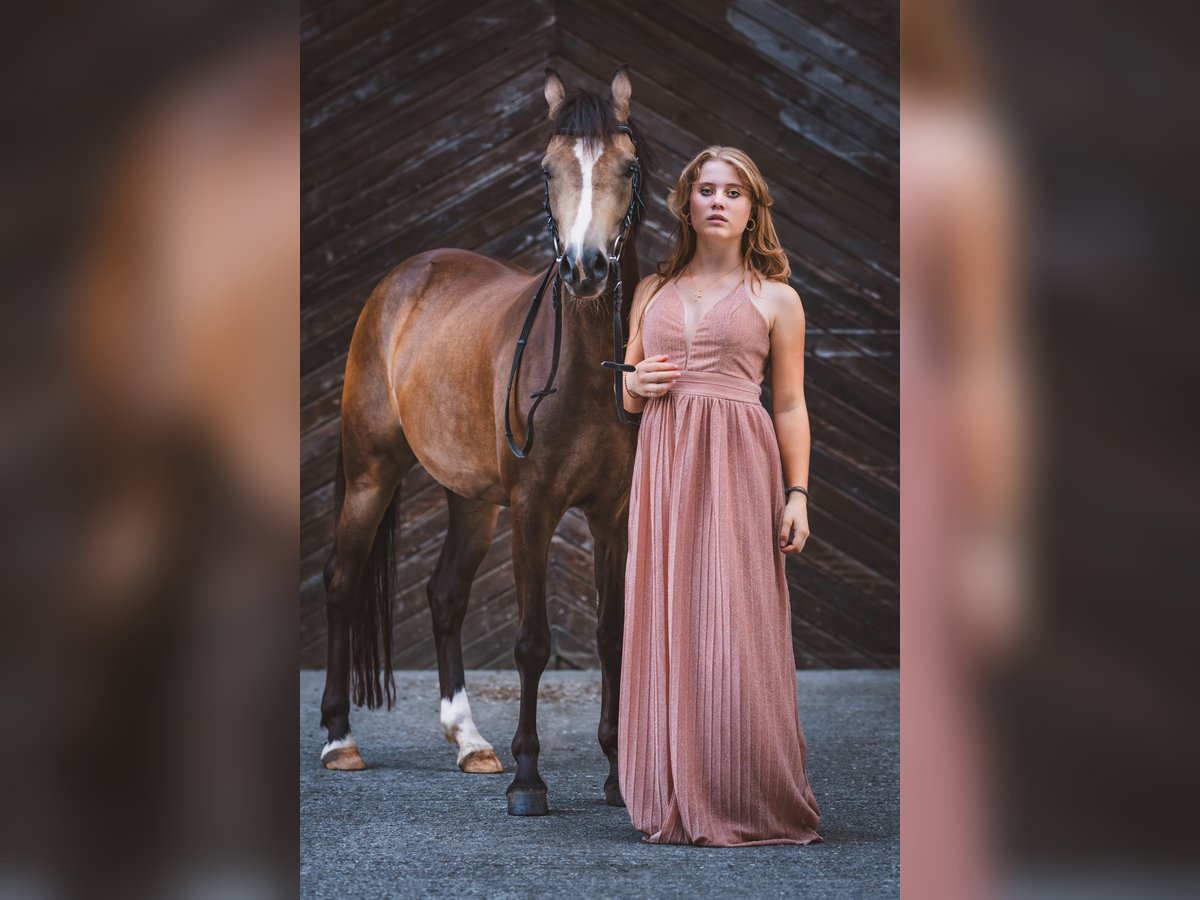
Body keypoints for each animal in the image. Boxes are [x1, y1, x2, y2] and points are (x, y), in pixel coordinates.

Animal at [319, 68, 657, 816]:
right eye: (546, 169)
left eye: (628, 166)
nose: (585, 269)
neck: (583, 367)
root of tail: (406, 277)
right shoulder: (533, 509)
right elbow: (532, 643)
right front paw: (529, 779)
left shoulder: (614, 514)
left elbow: (613, 637)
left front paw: (618, 777)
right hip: (371, 475)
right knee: (342, 582)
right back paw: (338, 739)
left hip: (471, 501)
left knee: (445, 594)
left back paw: (470, 741)